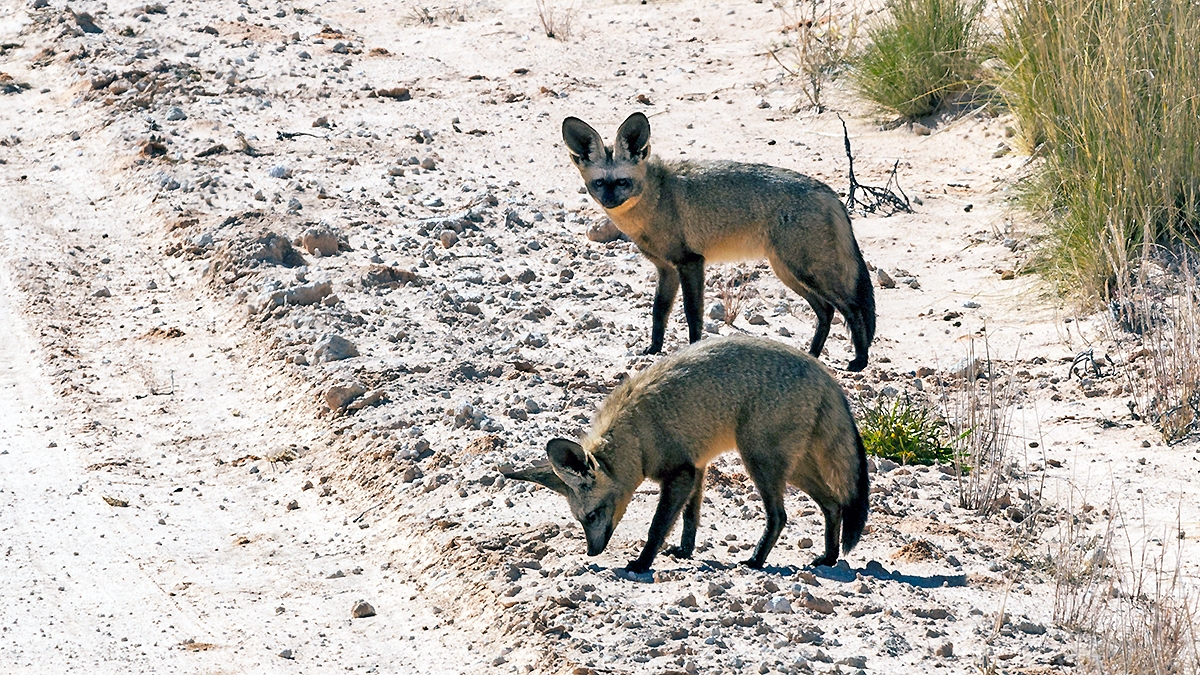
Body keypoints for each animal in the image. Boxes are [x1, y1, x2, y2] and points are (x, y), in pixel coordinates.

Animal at [503, 335, 869, 574]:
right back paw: (828, 558)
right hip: (792, 468)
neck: (637, 435)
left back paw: (756, 561)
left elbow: (658, 526)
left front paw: (641, 564)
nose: (593, 553)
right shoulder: (698, 466)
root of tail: (825, 375)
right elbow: (690, 517)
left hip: (760, 462)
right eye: (580, 520)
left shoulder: (681, 472)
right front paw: (684, 551)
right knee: (834, 503)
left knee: (780, 516)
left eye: (592, 516)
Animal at [562, 112, 876, 371]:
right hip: (789, 272)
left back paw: (859, 361)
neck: (658, 198)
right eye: (600, 183)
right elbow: (658, 313)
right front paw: (653, 349)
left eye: (622, 182)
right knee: (827, 311)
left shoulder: (690, 263)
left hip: (805, 271)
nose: (609, 201)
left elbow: (693, 314)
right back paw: (812, 354)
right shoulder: (666, 269)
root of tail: (829, 193)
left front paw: (693, 349)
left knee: (851, 308)